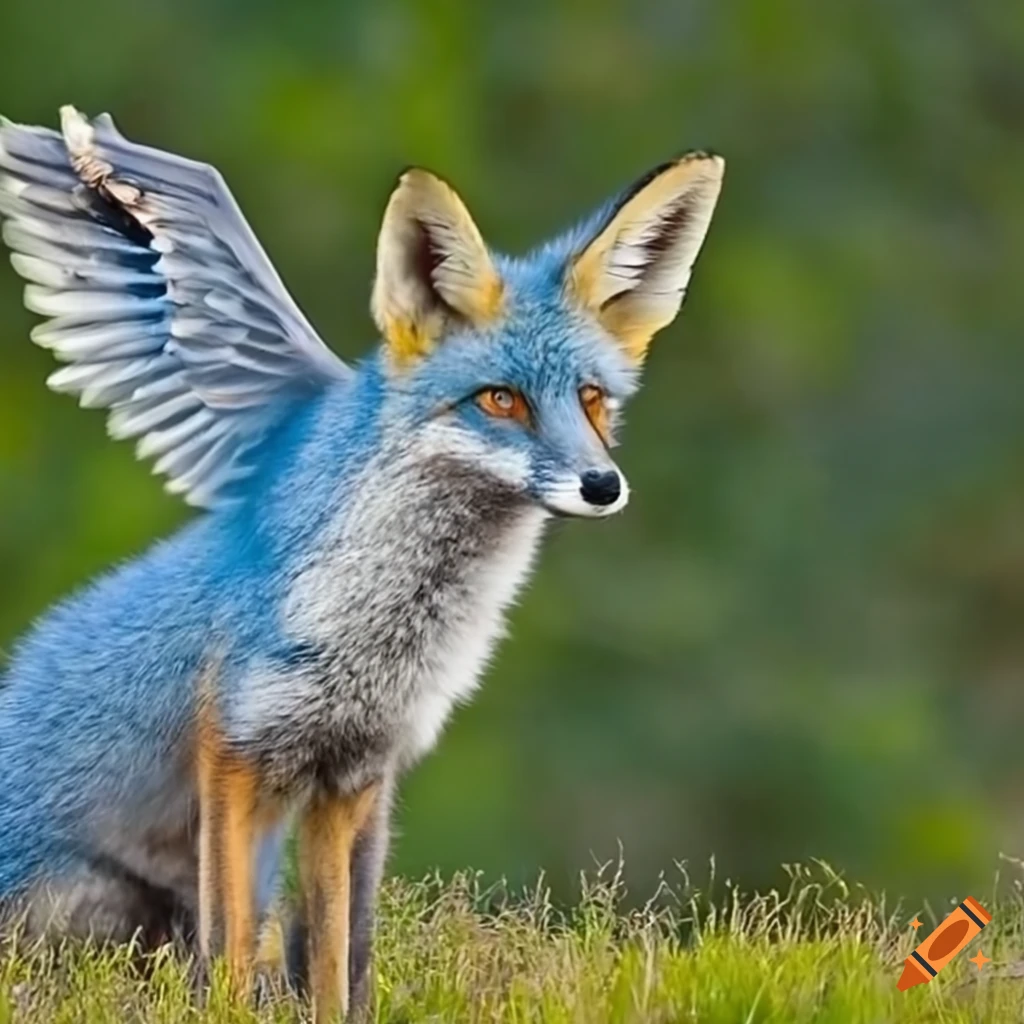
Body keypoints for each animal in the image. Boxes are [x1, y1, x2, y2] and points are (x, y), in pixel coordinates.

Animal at [0, 105, 724, 1018]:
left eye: (592, 402)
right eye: (501, 400)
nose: (602, 485)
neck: (390, 635)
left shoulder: (351, 774)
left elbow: (332, 956)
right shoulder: (238, 749)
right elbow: (235, 944)